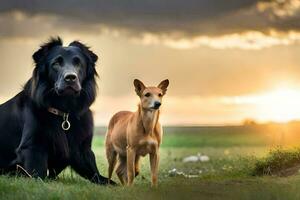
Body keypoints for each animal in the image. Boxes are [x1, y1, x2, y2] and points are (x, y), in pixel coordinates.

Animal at [0, 37, 115, 184]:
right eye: (56, 63)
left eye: (78, 63)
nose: (70, 77)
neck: (64, 111)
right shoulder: (32, 147)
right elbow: (39, 176)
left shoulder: (83, 150)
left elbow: (99, 177)